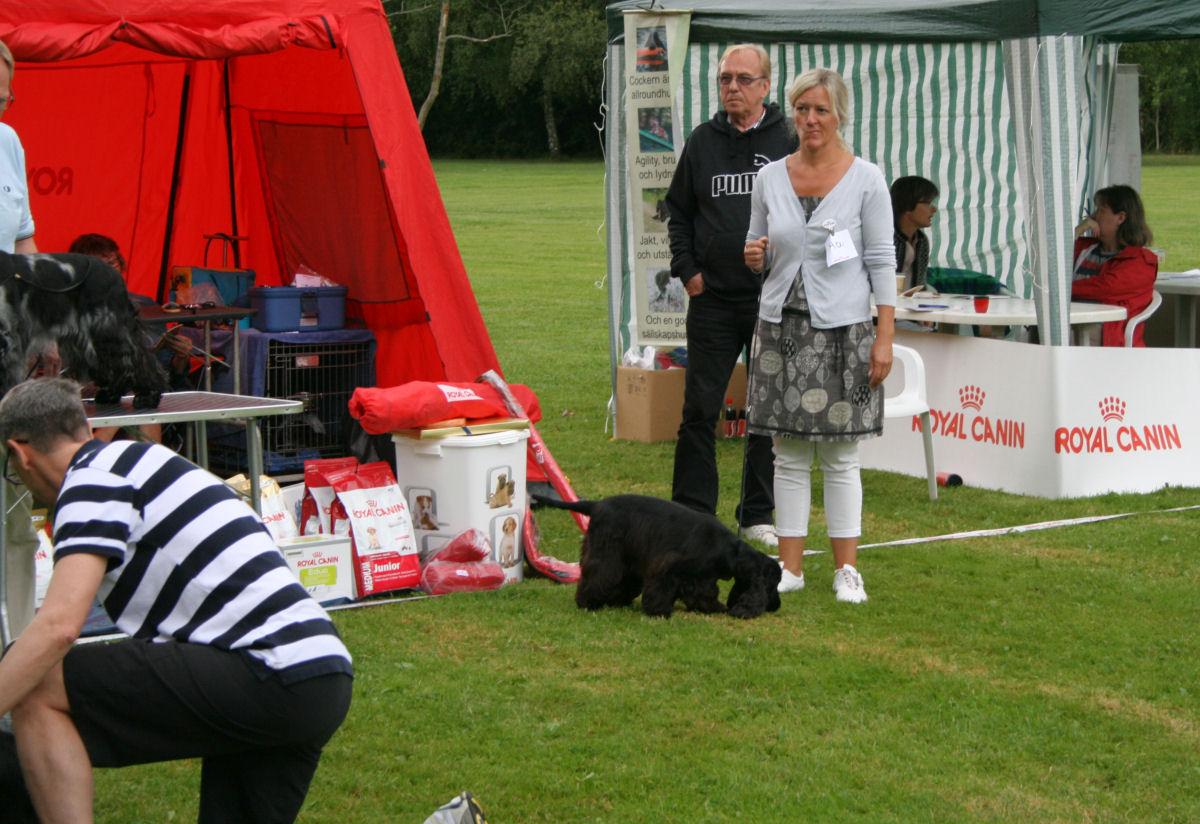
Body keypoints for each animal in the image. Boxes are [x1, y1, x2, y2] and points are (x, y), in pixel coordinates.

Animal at [0, 249, 169, 407]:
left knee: (134, 359)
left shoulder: (8, 340)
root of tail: (114, 273)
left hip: (106, 328)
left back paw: (148, 396)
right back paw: (111, 394)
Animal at [532, 496, 777, 618]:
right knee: (597, 576)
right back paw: (588, 602)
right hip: (607, 553)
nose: (775, 606)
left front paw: (713, 607)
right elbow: (662, 588)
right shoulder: (668, 566)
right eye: (773, 585)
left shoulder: (700, 576)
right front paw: (659, 612)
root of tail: (596, 505)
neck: (730, 550)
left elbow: (703, 593)